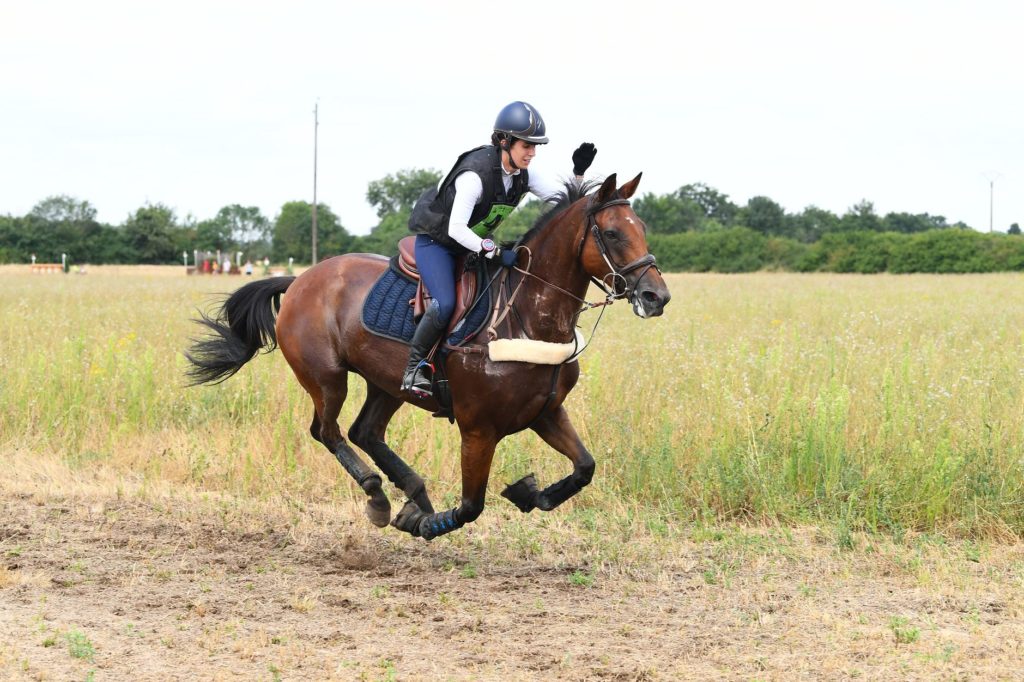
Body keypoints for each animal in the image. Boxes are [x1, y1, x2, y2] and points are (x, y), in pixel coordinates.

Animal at [186, 173, 671, 540]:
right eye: (612, 233)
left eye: (643, 228)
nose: (657, 296)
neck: (526, 315)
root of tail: (300, 279)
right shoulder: (478, 430)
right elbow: (472, 506)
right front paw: (425, 523)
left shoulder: (546, 412)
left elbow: (585, 467)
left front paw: (529, 493)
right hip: (326, 378)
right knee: (328, 431)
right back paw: (380, 496)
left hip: (386, 383)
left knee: (365, 432)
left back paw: (413, 491)